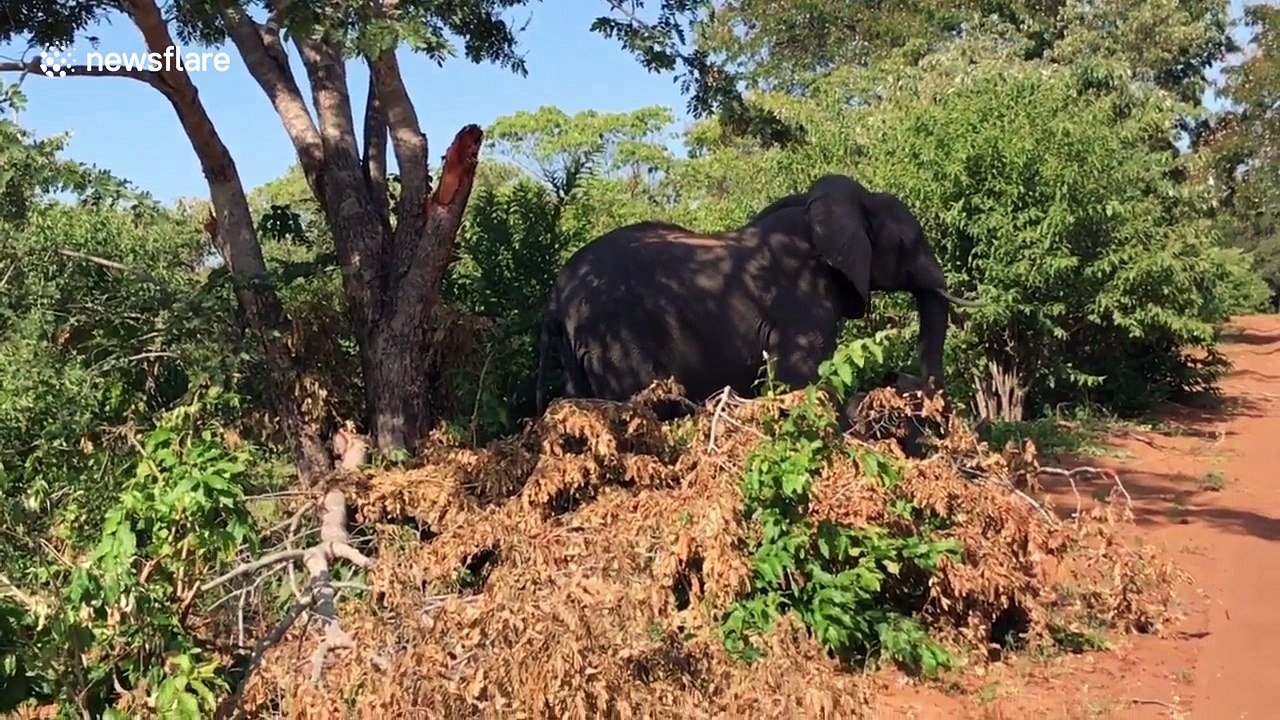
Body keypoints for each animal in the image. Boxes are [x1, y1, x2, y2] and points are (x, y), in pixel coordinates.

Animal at [533, 173, 980, 414]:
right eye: (907, 242)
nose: (898, 378)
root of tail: (556, 296)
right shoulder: (802, 297)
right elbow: (801, 378)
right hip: (614, 336)